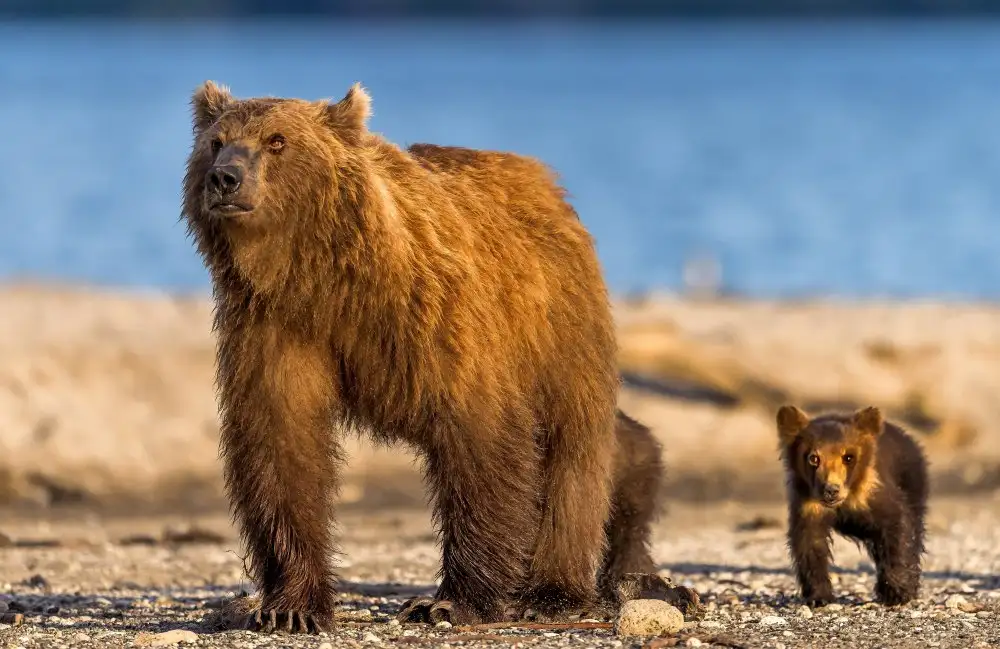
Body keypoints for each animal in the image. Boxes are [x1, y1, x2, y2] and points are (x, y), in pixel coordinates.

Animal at [181, 80, 667, 633]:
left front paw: (450, 601)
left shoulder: (438, 321)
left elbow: (480, 439)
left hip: (560, 326)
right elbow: (281, 443)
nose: (225, 177)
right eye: (217, 142)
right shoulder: (275, 328)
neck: (322, 279)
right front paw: (291, 606)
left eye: (277, 140)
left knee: (575, 452)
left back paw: (555, 591)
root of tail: (548, 186)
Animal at [776, 405, 928, 607]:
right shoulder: (808, 502)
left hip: (912, 482)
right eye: (813, 458)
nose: (831, 490)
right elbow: (809, 542)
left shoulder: (872, 491)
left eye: (848, 457)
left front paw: (898, 593)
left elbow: (897, 527)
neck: (845, 500)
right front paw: (818, 597)